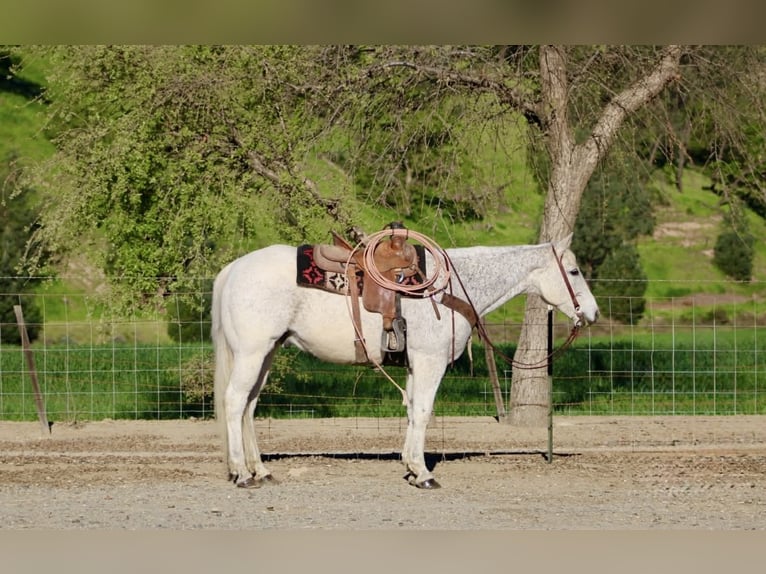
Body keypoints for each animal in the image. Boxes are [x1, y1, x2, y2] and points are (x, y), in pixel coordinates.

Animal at [212, 233, 599, 489]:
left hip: (267, 352)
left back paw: (261, 471)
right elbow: (425, 412)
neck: (449, 287)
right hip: (251, 352)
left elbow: (413, 411)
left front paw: (411, 467)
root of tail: (232, 269)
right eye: (575, 272)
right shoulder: (430, 361)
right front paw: (423, 474)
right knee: (234, 402)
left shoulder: (415, 363)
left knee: (249, 406)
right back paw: (242, 474)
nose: (593, 313)